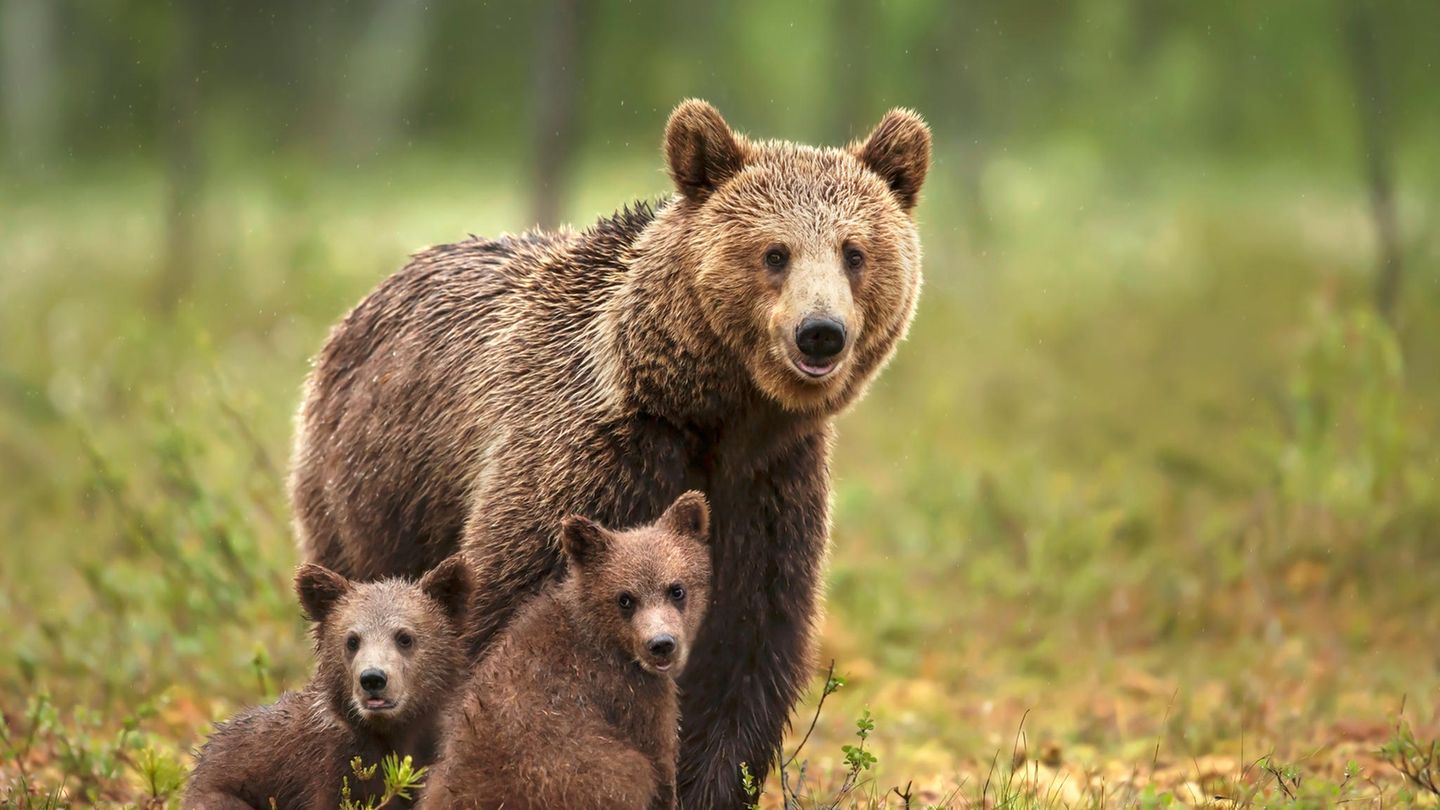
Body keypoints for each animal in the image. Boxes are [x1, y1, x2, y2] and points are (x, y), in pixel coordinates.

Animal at [289, 98, 933, 801]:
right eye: (775, 252)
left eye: (854, 252)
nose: (820, 332)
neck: (710, 413)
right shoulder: (587, 462)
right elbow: (503, 622)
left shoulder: (768, 488)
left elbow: (744, 655)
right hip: (370, 491)